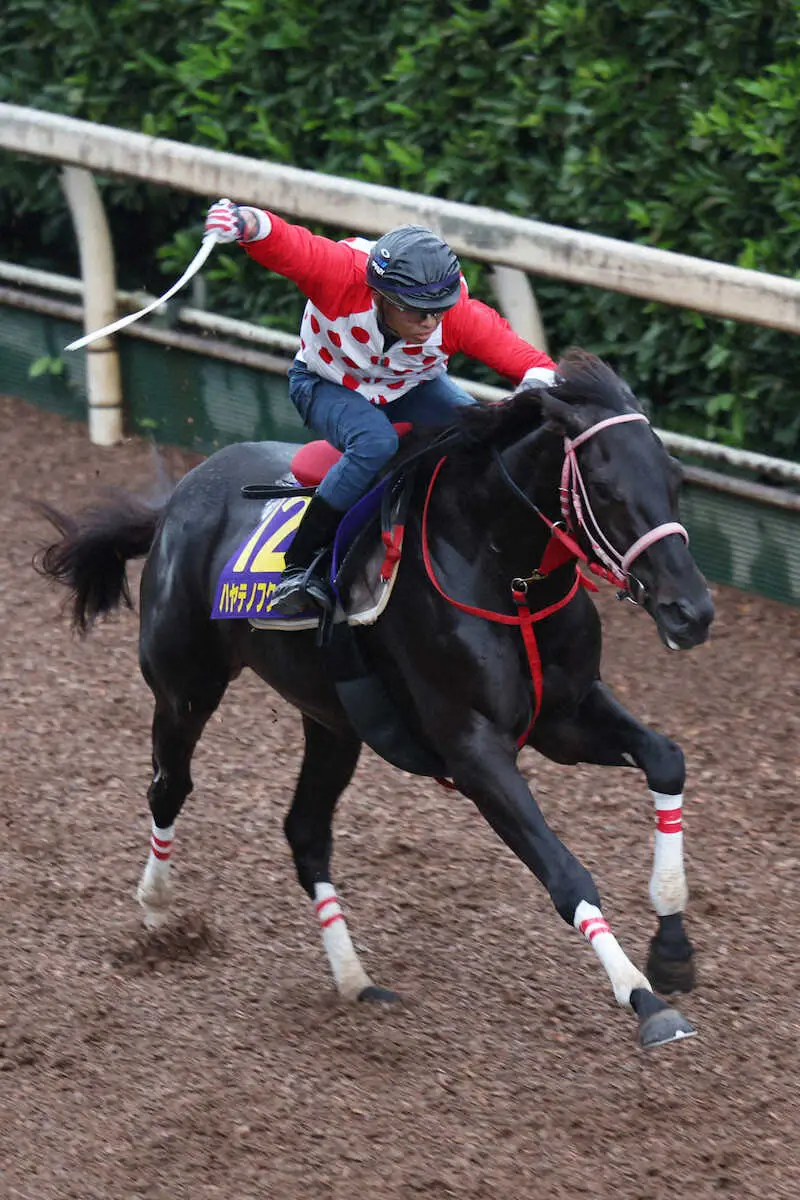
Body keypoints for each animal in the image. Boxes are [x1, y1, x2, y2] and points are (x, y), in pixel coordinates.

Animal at [37, 350, 714, 1051]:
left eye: (675, 477)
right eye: (605, 488)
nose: (692, 611)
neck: (503, 572)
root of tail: (178, 500)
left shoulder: (565, 716)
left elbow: (667, 760)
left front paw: (671, 948)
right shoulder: (473, 749)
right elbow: (565, 873)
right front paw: (643, 997)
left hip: (333, 722)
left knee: (305, 832)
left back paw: (355, 979)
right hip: (185, 688)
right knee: (169, 788)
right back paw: (156, 906)